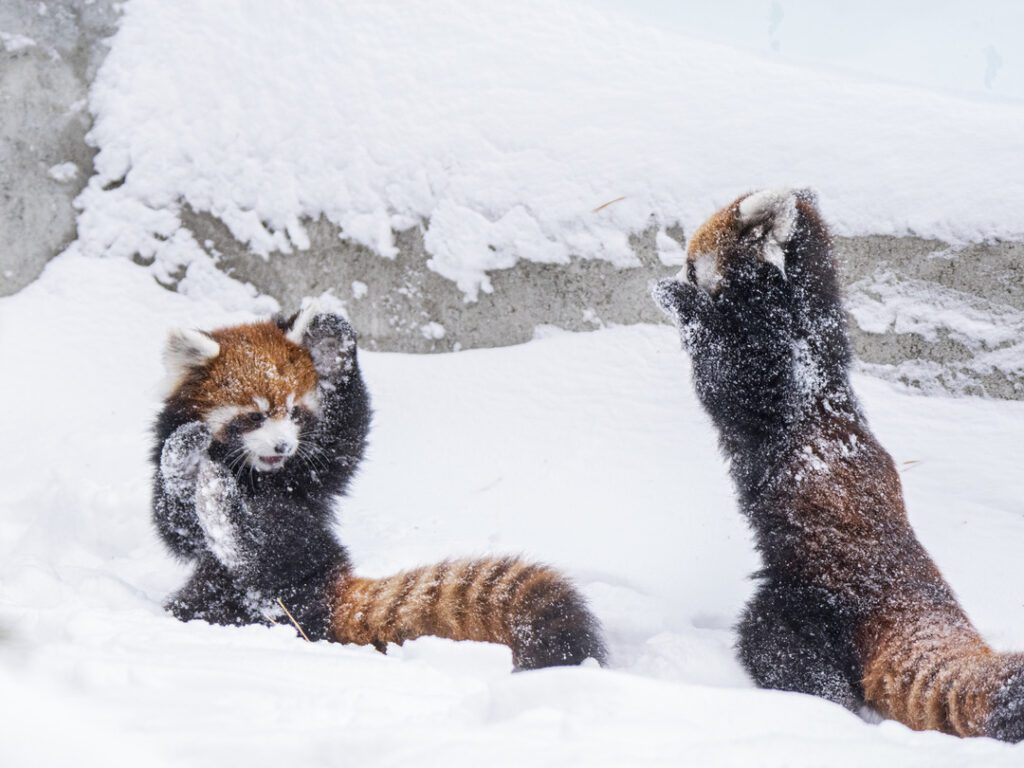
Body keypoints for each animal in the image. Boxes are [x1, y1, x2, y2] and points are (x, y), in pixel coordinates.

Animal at [148, 303, 602, 671]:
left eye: (294, 412)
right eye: (255, 416)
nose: (283, 446)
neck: (260, 477)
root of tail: (328, 586)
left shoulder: (313, 477)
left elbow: (346, 430)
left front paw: (332, 346)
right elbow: (177, 525)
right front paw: (184, 456)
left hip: (303, 553)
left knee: (269, 547)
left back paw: (222, 505)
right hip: (221, 587)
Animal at [655, 189, 1024, 741]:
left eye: (690, 264)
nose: (675, 276)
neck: (794, 317)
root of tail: (908, 592)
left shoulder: (774, 373)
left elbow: (725, 372)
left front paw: (677, 300)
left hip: (808, 602)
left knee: (779, 650)